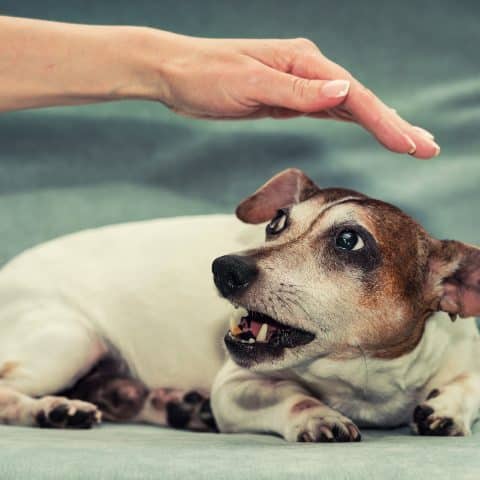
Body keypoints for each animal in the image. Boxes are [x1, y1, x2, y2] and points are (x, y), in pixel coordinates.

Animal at [0, 170, 480, 442]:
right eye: (276, 222)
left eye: (349, 240)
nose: (224, 268)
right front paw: (317, 415)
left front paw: (446, 408)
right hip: (71, 340)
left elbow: (467, 385)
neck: (362, 379)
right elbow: (294, 398)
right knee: (7, 393)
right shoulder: (235, 387)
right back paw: (53, 410)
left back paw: (173, 406)